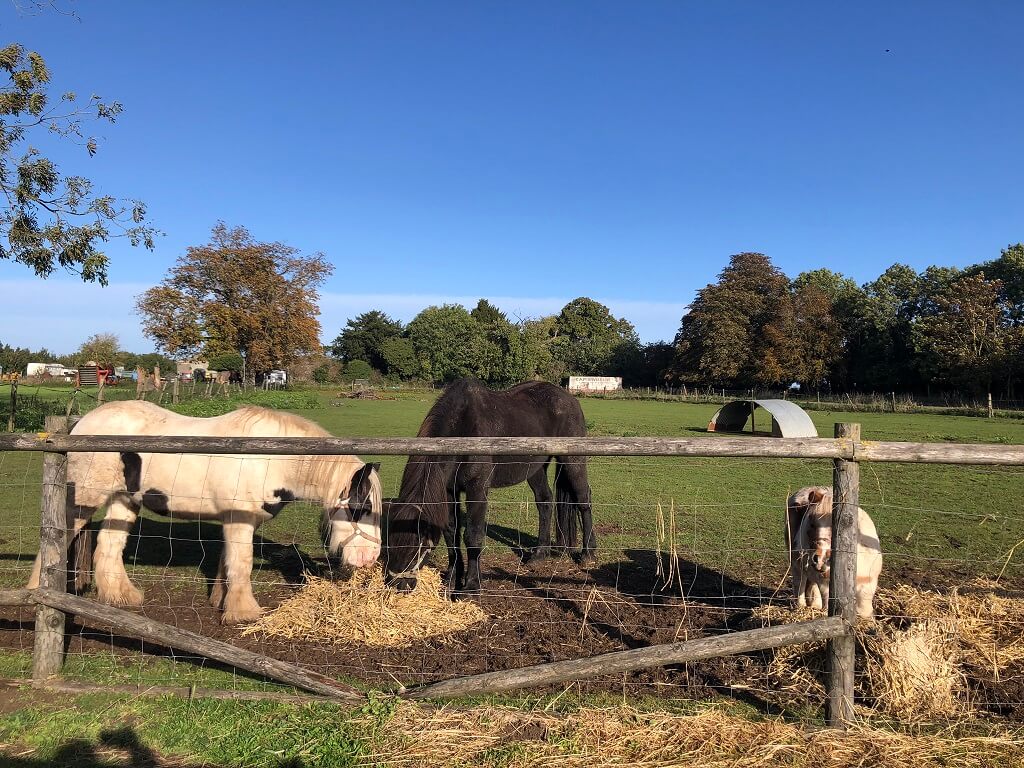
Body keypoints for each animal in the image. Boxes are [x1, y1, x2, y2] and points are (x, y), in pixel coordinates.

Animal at [26, 400, 383, 624]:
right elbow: (242, 563)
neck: (272, 458)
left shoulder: (236, 520)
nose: (369, 559)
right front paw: (243, 612)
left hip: (123, 501)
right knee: (59, 535)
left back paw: (121, 597)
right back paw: (36, 592)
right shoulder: (239, 520)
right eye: (361, 509)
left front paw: (221, 601)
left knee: (109, 546)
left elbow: (228, 561)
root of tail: (80, 424)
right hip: (85, 497)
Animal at [383, 377, 596, 593]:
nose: (397, 585)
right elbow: (451, 532)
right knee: (545, 502)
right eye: (390, 542)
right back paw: (538, 555)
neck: (461, 429)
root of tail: (570, 399)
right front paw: (452, 578)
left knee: (584, 499)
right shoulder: (449, 490)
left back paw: (587, 553)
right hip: (535, 469)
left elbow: (473, 535)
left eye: (417, 546)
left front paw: (471, 585)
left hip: (572, 461)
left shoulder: (477, 489)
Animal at [788, 486, 883, 619]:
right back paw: (800, 607)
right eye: (812, 523)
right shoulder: (826, 585)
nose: (820, 559)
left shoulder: (868, 584)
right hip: (796, 563)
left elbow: (865, 610)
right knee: (800, 583)